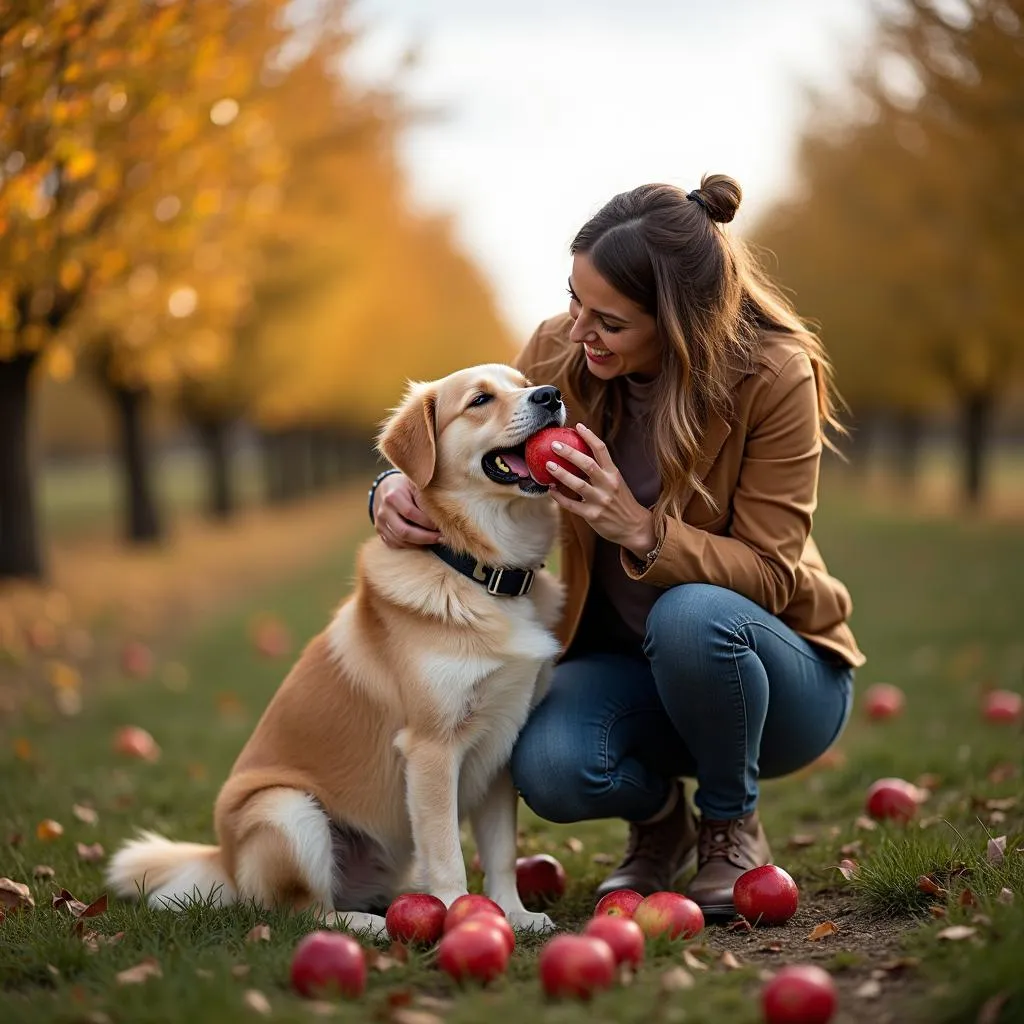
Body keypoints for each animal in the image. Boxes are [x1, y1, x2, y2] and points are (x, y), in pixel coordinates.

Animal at [107, 364, 569, 937]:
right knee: (304, 912)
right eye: (480, 400)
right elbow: (448, 856)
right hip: (287, 810)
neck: (480, 573)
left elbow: (502, 852)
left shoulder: (503, 747)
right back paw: (369, 926)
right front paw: (459, 915)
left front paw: (514, 914)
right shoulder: (432, 749)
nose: (550, 395)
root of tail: (225, 864)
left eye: (523, 382)